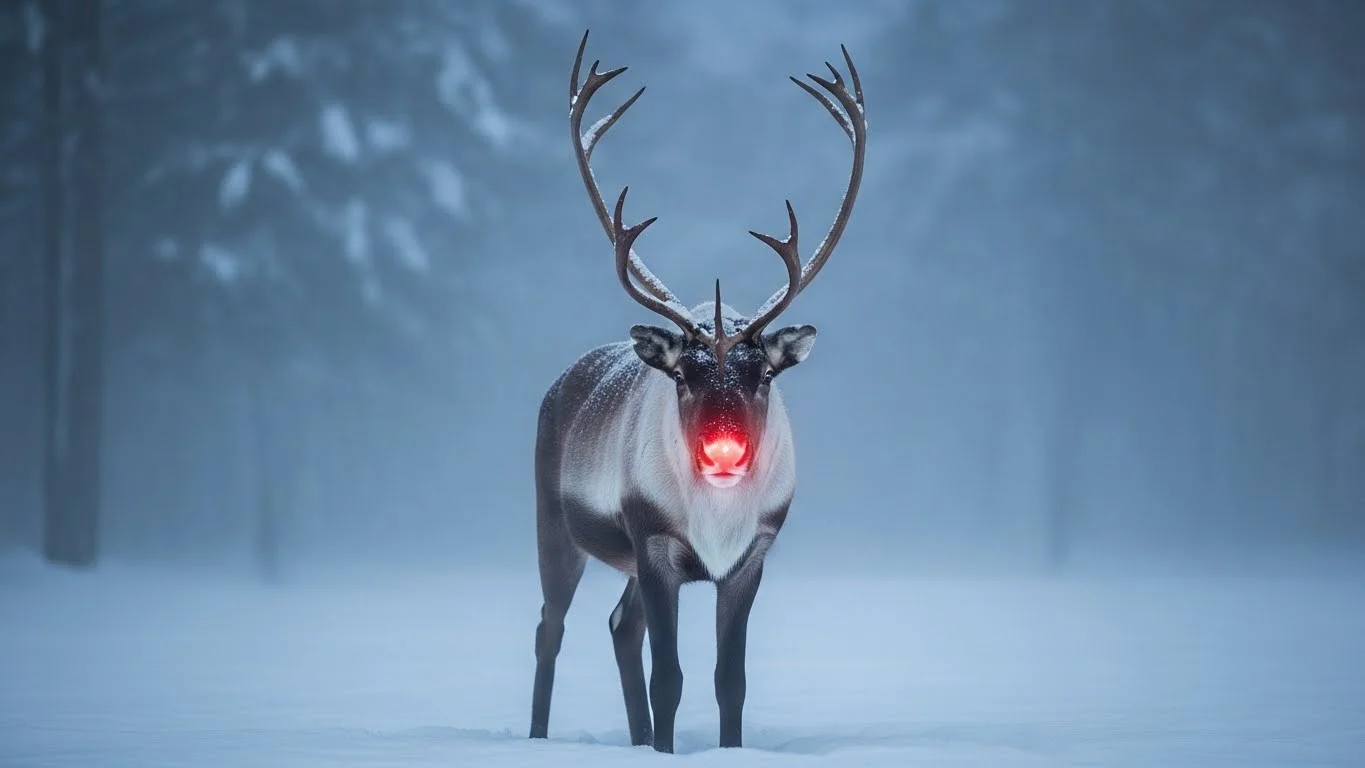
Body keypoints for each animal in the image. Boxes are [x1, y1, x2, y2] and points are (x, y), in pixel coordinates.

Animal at [529, 30, 866, 754]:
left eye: (764, 374)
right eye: (682, 375)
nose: (723, 451)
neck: (716, 521)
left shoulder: (749, 557)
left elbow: (727, 681)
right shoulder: (653, 540)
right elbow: (671, 680)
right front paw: (662, 748)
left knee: (618, 627)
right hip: (556, 522)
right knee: (551, 628)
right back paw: (538, 737)